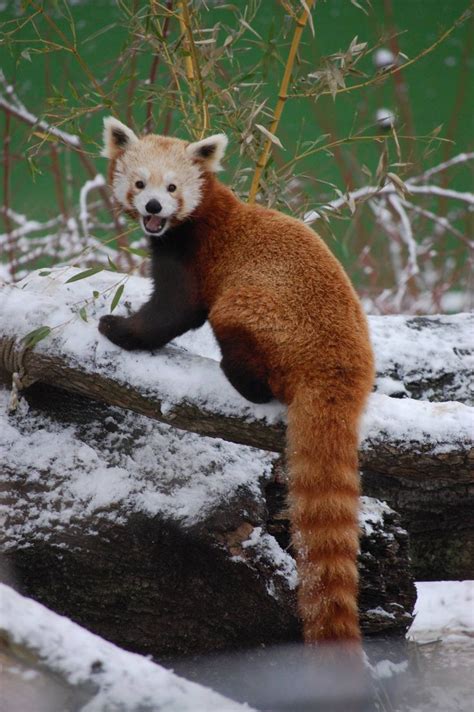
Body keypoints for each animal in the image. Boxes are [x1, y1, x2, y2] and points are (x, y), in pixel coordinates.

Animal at [99, 118, 374, 652]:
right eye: (140, 184)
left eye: (172, 188)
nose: (153, 208)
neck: (200, 216)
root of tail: (340, 369)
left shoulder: (196, 257)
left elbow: (176, 311)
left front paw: (118, 328)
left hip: (261, 310)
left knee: (233, 325)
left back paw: (243, 378)